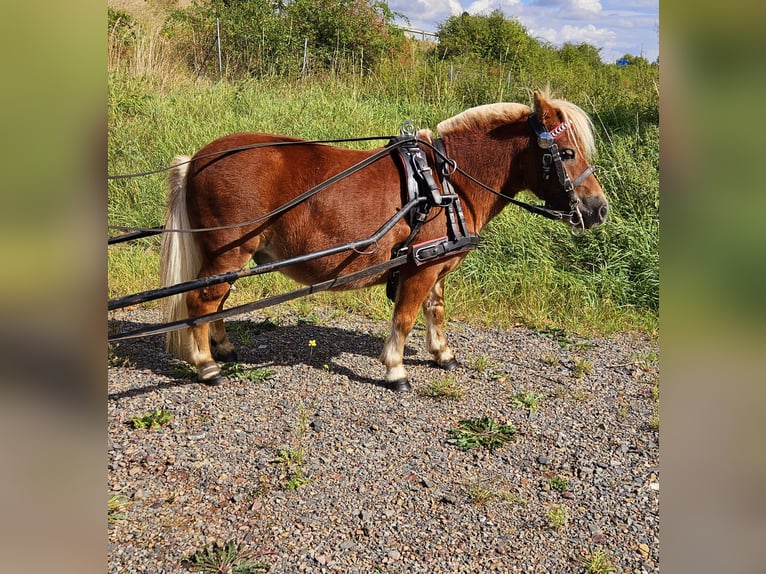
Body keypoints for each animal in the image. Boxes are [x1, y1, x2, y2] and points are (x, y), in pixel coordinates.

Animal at [159, 90, 608, 392]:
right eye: (567, 153)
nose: (598, 209)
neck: (446, 183)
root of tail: (196, 159)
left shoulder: (436, 266)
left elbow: (436, 311)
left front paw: (442, 354)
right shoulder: (419, 269)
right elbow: (405, 318)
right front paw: (396, 370)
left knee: (217, 300)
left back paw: (223, 348)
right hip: (228, 252)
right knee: (201, 301)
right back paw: (206, 364)